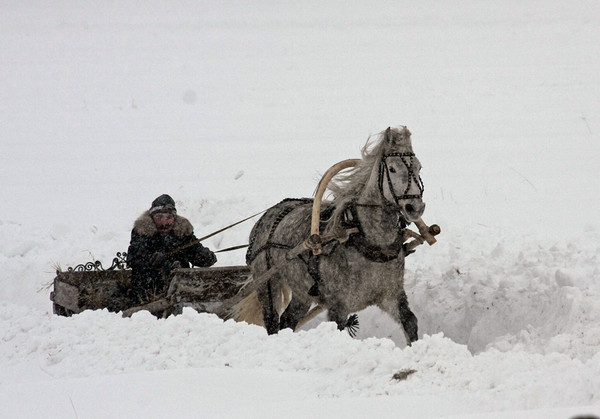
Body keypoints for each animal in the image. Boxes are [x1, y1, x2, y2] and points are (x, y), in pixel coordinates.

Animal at [232, 126, 424, 346]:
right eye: (392, 169)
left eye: (419, 167)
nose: (415, 207)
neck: (369, 243)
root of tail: (266, 216)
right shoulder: (338, 305)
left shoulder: (391, 294)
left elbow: (410, 322)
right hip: (266, 282)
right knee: (272, 320)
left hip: (301, 292)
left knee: (288, 320)